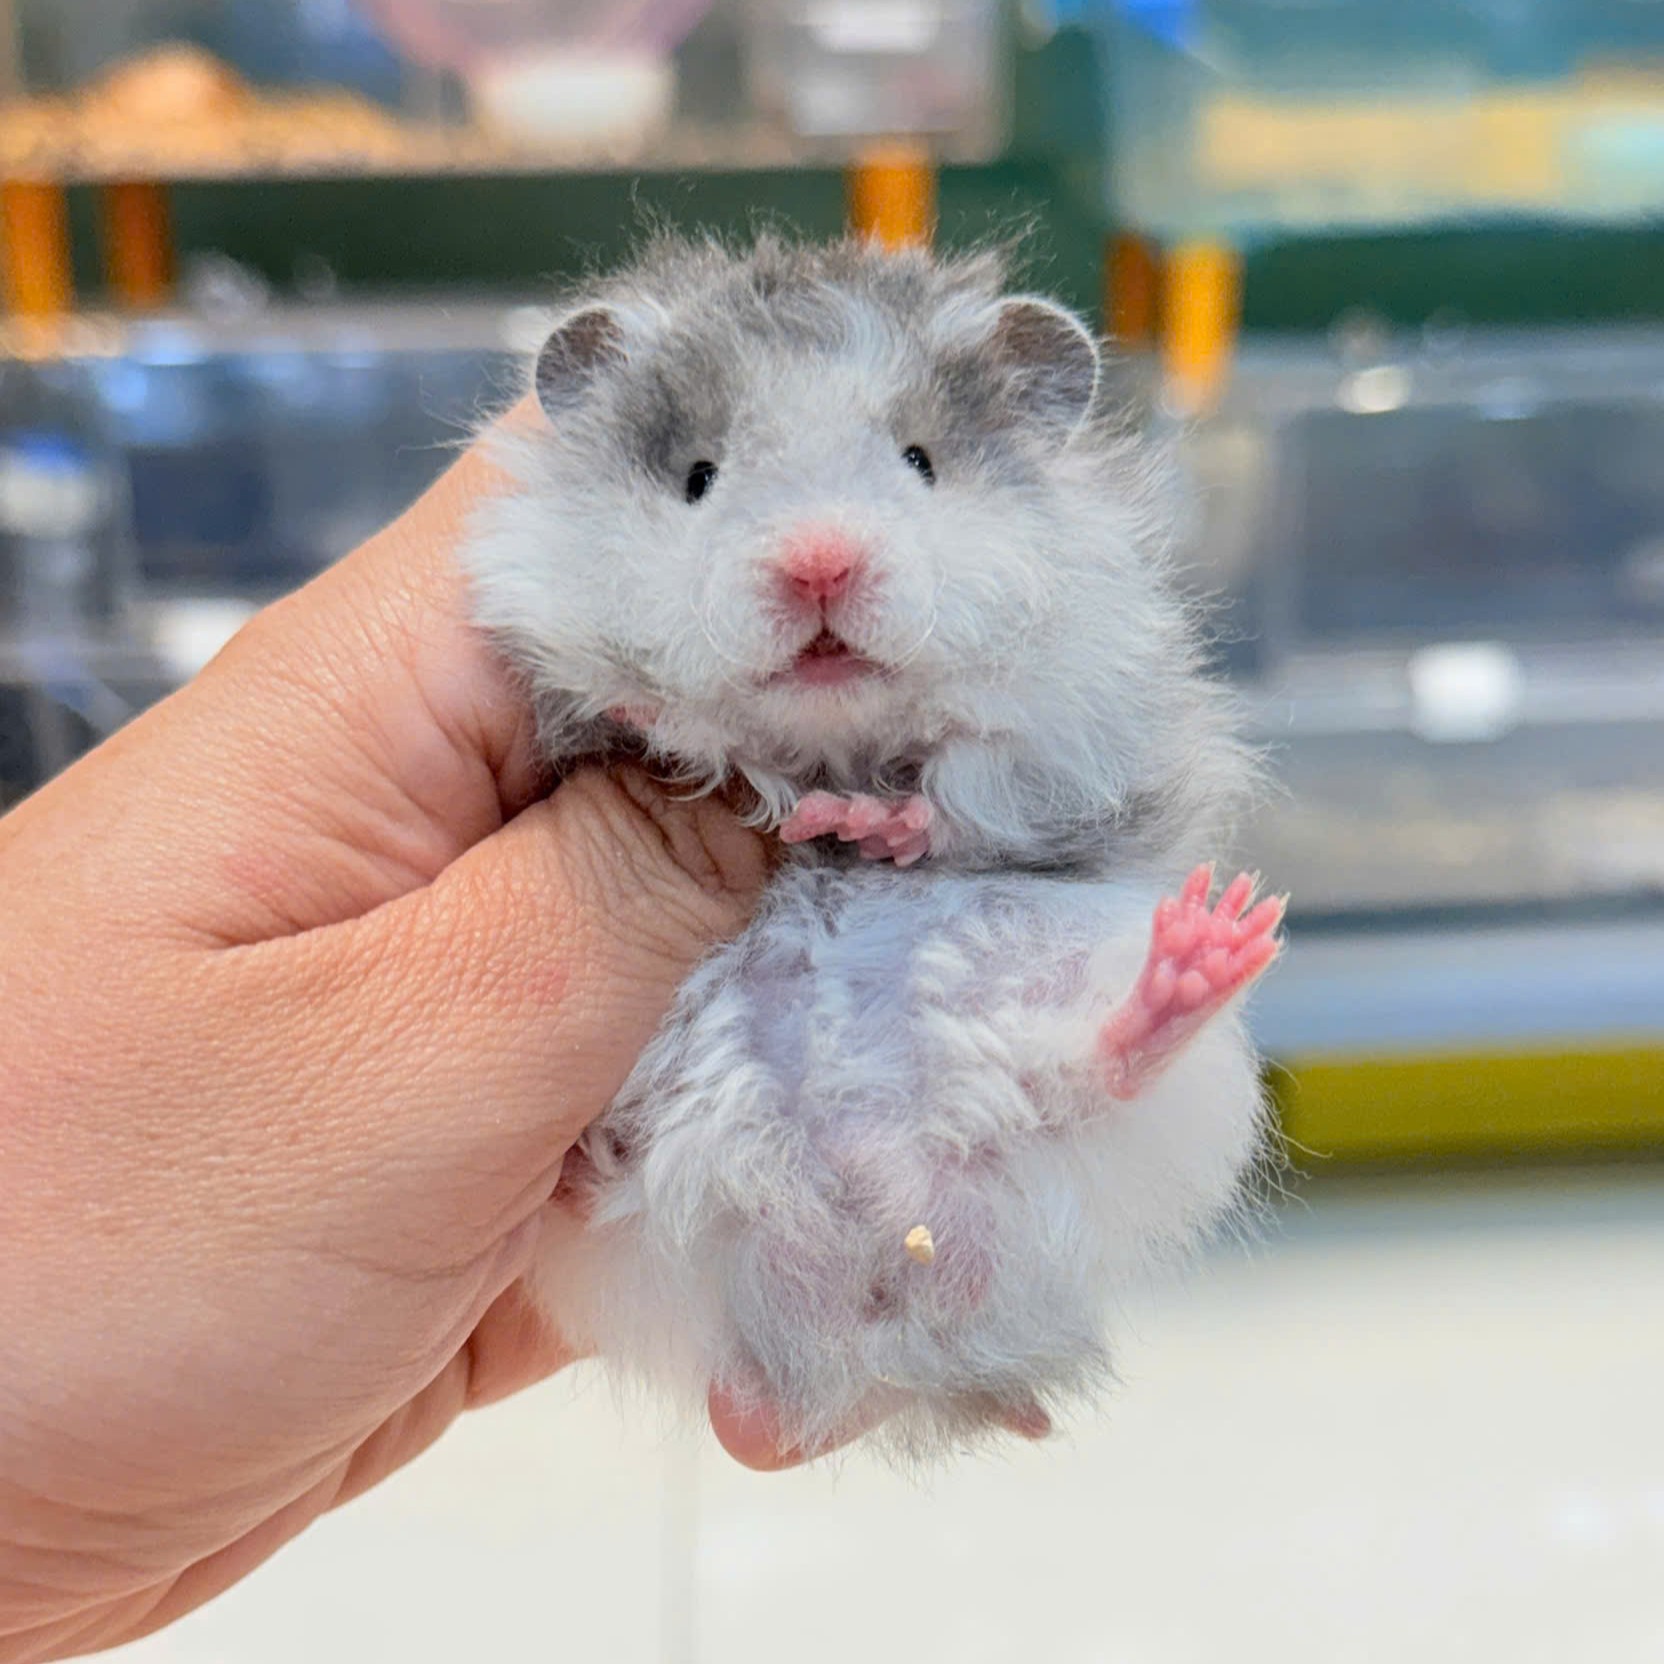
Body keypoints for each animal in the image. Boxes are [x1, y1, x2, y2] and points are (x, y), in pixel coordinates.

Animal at [461, 233, 1283, 1462]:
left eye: (920, 461)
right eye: (699, 476)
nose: (819, 564)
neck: (834, 738)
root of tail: (880, 1282)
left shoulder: (1072, 713)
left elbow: (966, 782)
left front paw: (856, 823)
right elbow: (662, 720)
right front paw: (726, 763)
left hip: (1088, 1023)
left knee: (1087, 1071)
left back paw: (1201, 955)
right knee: (615, 1178)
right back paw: (576, 1158)